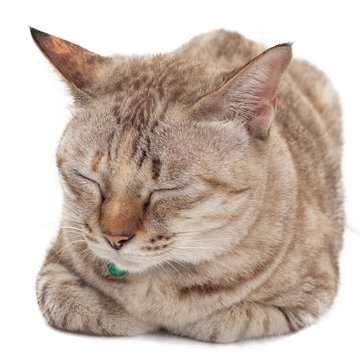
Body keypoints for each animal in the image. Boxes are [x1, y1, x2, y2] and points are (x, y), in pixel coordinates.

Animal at [31, 26, 344, 342]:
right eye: (89, 179)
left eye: (168, 189)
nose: (113, 238)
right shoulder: (54, 264)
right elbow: (75, 305)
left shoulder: (311, 295)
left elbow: (226, 321)